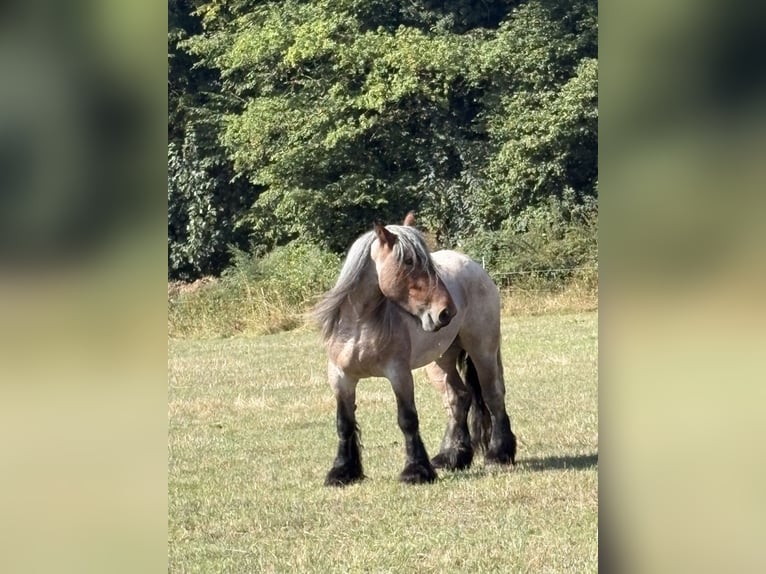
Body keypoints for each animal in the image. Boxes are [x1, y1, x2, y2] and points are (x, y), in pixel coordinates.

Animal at [314, 213, 517, 486]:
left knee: (493, 395)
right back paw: (452, 456)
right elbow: (344, 423)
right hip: (441, 360)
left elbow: (408, 419)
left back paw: (499, 454)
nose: (446, 312)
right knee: (458, 398)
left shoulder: (399, 374)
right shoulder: (340, 377)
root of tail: (473, 265)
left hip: (482, 350)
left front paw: (416, 470)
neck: (359, 325)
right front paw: (343, 470)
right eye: (409, 261)